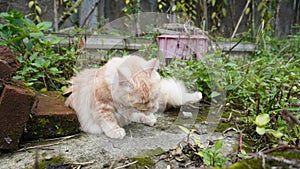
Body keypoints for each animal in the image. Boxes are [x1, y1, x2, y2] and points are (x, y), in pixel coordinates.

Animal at [64, 55, 203, 139]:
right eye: (142, 102)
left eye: (153, 97)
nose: (153, 107)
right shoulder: (102, 104)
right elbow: (108, 119)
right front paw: (115, 131)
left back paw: (197, 96)